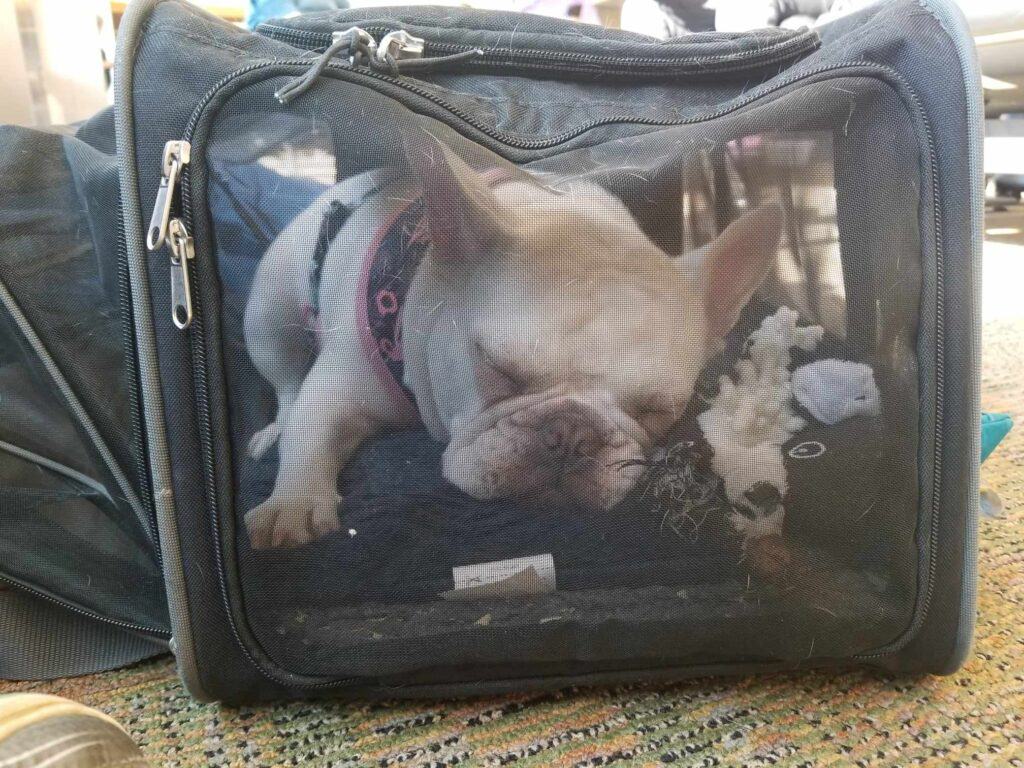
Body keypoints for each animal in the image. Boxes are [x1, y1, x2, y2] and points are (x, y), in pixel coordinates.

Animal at [243, 134, 778, 552]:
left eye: (654, 411)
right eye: (497, 370)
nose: (572, 435)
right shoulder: (342, 382)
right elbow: (312, 429)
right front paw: (293, 503)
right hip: (268, 315)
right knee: (287, 382)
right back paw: (275, 427)